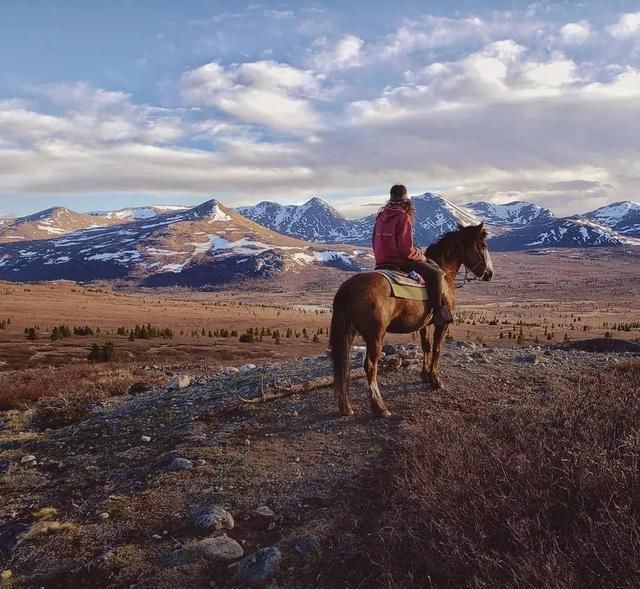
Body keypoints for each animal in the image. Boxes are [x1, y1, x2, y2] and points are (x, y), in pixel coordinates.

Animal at [330, 222, 496, 418]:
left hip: (348, 332)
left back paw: (346, 407)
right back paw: (380, 407)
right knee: (370, 366)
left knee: (344, 365)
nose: (490, 274)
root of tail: (347, 288)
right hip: (375, 336)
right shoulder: (443, 324)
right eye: (483, 245)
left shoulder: (424, 324)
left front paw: (425, 375)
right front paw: (435, 379)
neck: (444, 271)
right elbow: (437, 348)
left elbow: (426, 346)